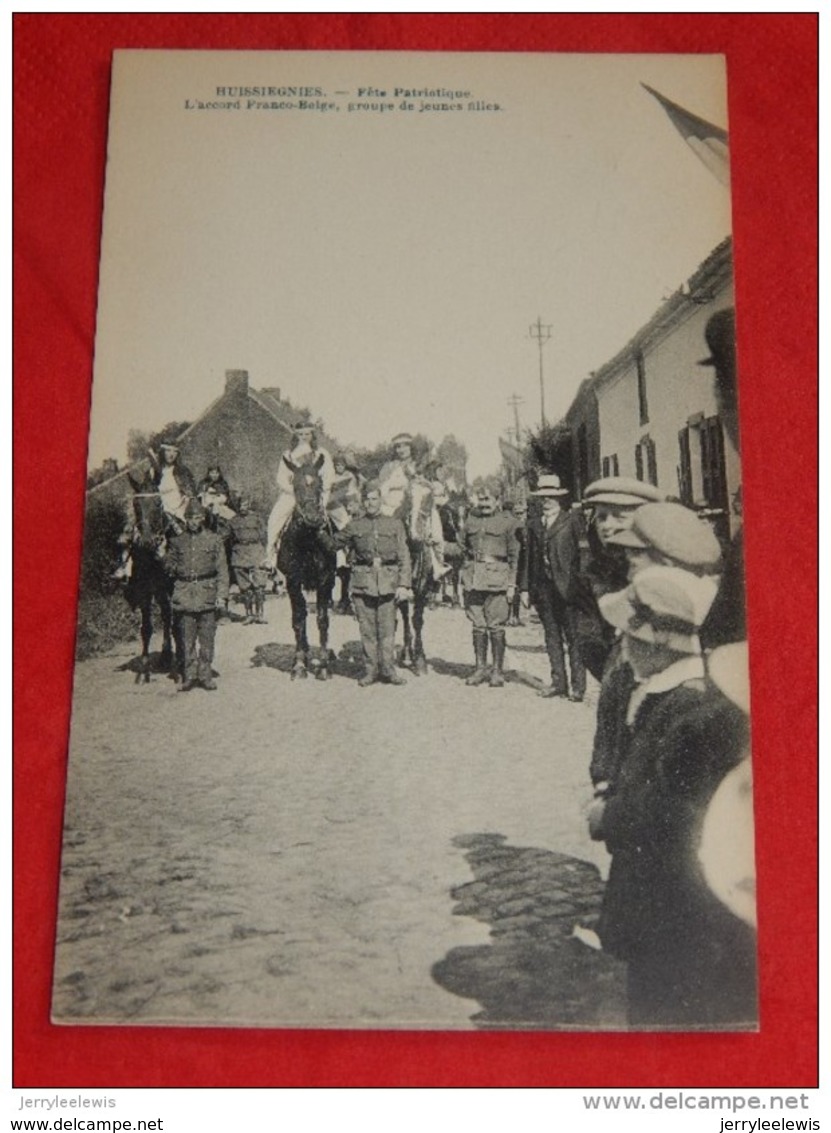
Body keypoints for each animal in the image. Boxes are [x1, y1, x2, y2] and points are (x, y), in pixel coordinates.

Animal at [118, 478, 177, 679]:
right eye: (136, 505)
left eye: (158, 502)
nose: (147, 541)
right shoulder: (145, 590)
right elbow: (146, 628)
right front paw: (144, 668)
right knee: (166, 614)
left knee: (168, 615)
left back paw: (167, 655)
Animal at [274, 453, 335, 679]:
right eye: (295, 485)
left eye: (320, 484)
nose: (313, 519)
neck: (307, 540)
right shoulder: (293, 581)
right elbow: (299, 618)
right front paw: (299, 663)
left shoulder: (325, 580)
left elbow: (322, 619)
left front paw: (324, 665)